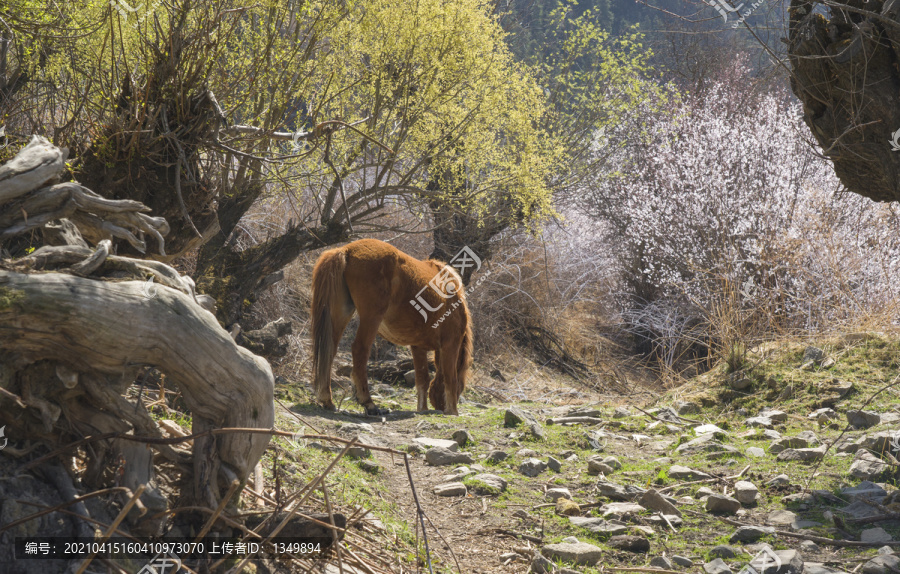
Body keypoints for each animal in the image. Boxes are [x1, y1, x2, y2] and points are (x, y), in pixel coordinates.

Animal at [312, 241, 474, 416]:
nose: (440, 407)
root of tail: (346, 250)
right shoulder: (451, 343)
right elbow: (450, 378)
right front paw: (453, 412)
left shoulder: (418, 347)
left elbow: (422, 379)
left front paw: (422, 409)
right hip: (372, 317)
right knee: (360, 349)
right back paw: (369, 403)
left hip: (341, 313)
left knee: (329, 350)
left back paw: (327, 400)